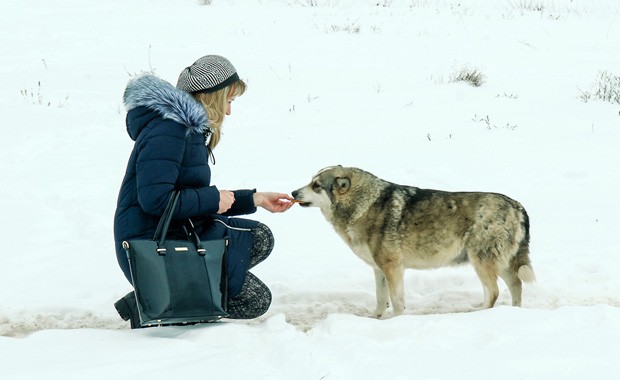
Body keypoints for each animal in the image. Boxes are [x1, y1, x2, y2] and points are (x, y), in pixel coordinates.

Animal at [294, 166, 536, 318]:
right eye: (311, 181)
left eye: (316, 185)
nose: (293, 192)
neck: (363, 205)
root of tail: (517, 205)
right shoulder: (379, 269)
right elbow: (381, 299)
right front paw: (376, 319)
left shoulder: (393, 268)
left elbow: (397, 301)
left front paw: (396, 322)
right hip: (500, 264)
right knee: (516, 285)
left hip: (482, 263)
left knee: (494, 292)